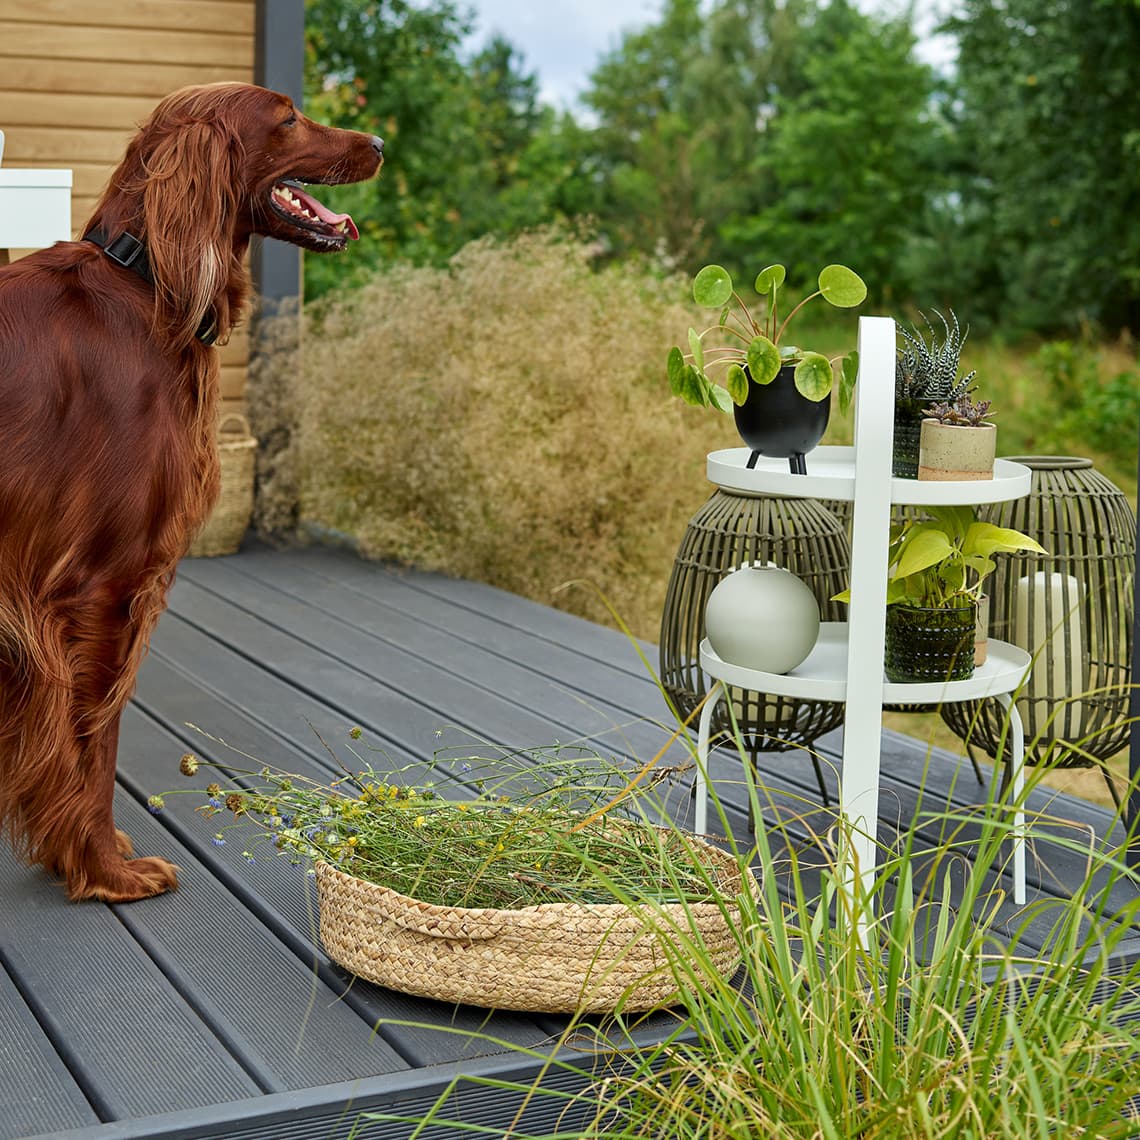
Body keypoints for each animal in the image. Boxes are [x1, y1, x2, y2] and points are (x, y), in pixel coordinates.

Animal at [0, 83, 383, 901]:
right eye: (288, 117)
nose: (377, 143)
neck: (142, 280)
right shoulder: (103, 590)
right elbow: (95, 743)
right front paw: (106, 869)